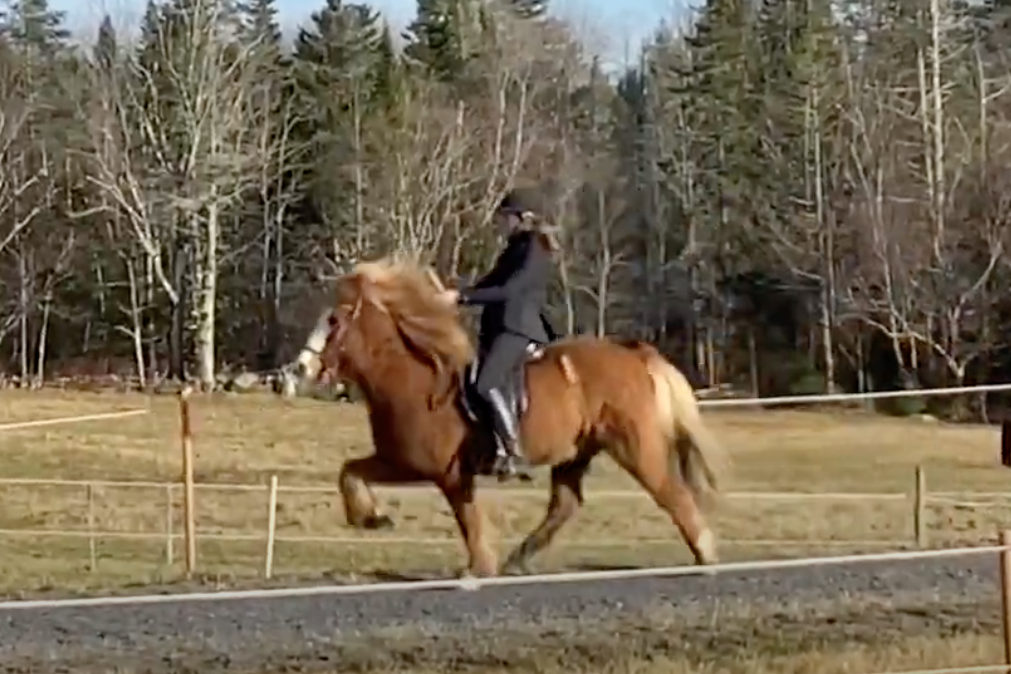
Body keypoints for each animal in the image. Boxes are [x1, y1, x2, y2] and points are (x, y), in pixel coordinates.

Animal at [295, 258, 731, 582]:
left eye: (333, 321)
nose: (299, 369)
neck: (415, 380)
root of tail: (635, 353)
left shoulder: (439, 471)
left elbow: (467, 519)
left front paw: (477, 567)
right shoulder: (400, 460)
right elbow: (350, 471)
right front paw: (371, 517)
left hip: (634, 447)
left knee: (671, 493)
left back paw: (705, 553)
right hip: (576, 453)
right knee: (565, 505)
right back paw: (519, 559)